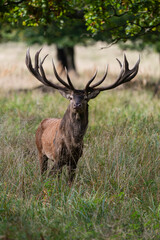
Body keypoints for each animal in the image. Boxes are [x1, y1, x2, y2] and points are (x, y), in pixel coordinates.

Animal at [25, 48, 140, 184]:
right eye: (71, 97)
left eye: (85, 98)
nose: (77, 104)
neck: (73, 142)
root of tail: (42, 122)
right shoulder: (58, 157)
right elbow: (52, 176)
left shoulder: (75, 160)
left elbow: (70, 181)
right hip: (40, 150)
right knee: (43, 172)